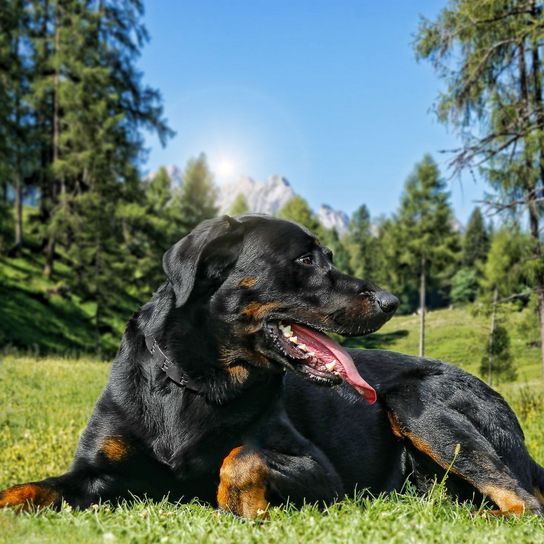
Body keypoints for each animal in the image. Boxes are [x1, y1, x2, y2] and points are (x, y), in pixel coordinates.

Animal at [1, 215, 544, 516]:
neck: (197, 380)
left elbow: (240, 456)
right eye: (305, 260)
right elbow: (30, 488)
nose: (391, 301)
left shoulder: (322, 474)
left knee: (526, 502)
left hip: (415, 400)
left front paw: (240, 503)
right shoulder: (93, 472)